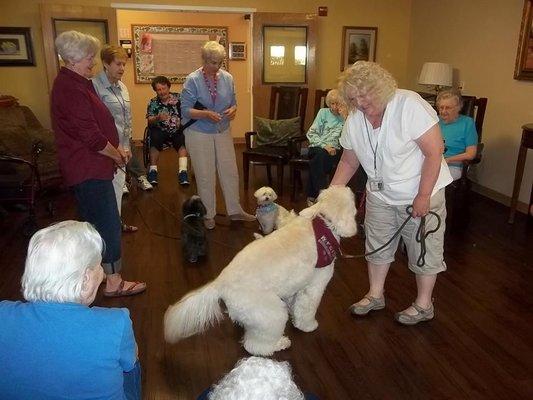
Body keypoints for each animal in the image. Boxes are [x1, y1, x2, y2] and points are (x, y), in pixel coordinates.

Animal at [164, 187, 356, 356]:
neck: (323, 223)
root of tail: (220, 282)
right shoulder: (315, 286)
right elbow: (307, 308)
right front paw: (308, 325)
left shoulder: (296, 286)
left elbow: (295, 304)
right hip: (272, 314)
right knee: (256, 346)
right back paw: (280, 343)